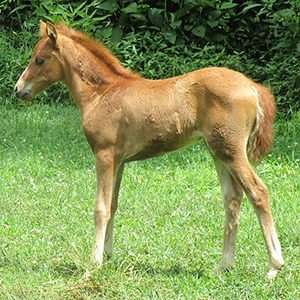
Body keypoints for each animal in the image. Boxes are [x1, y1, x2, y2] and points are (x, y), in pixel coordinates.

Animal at [15, 21, 284, 282]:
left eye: (39, 60)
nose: (18, 89)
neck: (101, 93)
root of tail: (253, 87)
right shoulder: (119, 160)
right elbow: (113, 204)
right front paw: (108, 256)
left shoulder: (104, 154)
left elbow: (100, 208)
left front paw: (94, 264)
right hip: (219, 151)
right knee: (232, 198)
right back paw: (223, 267)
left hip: (230, 151)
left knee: (258, 192)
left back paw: (274, 266)